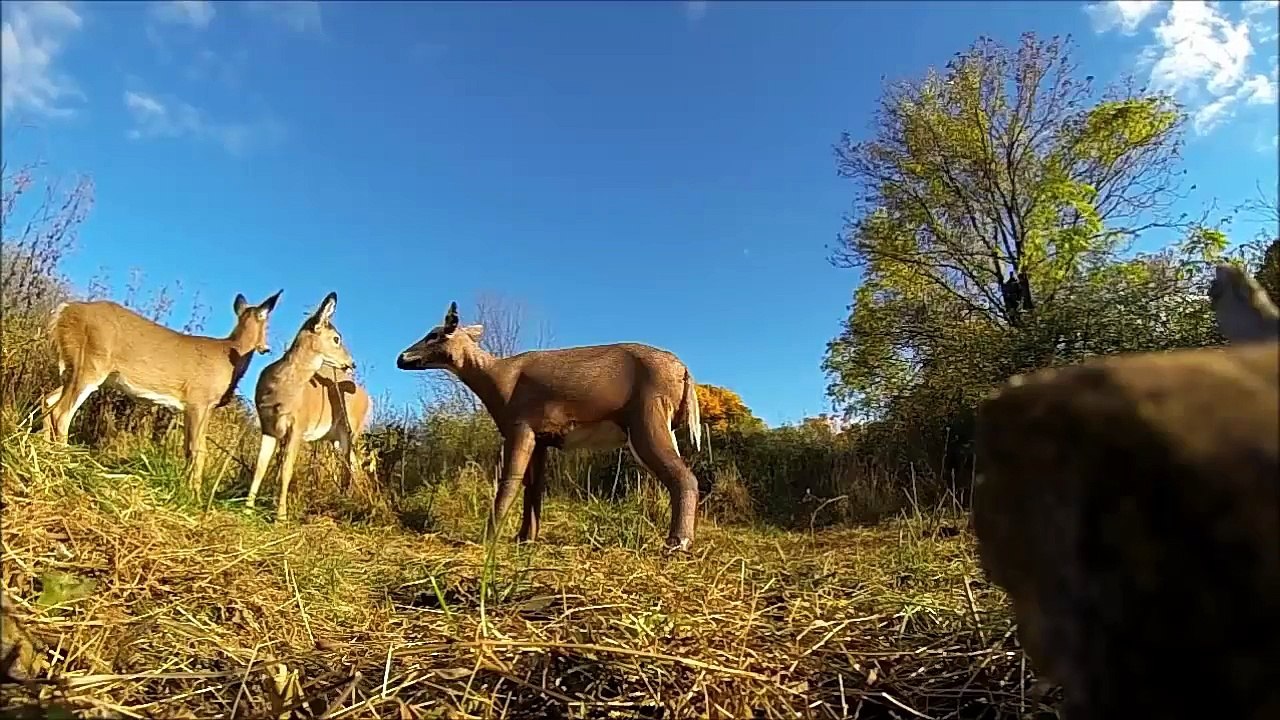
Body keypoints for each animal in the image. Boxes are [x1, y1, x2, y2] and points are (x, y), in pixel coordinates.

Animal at [41, 291, 283, 491]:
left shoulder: (196, 407)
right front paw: (194, 495)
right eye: (268, 325)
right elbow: (198, 450)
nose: (266, 348)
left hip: (74, 367)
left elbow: (189, 449)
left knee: (49, 400)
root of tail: (64, 310)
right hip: (91, 364)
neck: (230, 354)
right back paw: (64, 464)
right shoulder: (199, 400)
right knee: (62, 412)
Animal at [247, 292, 371, 521]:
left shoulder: (298, 426)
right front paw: (247, 509)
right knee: (353, 465)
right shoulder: (268, 426)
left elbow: (286, 470)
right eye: (336, 338)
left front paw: (281, 517)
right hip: (336, 439)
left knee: (351, 466)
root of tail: (368, 398)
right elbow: (260, 467)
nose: (352, 363)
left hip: (352, 432)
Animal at [396, 302, 704, 551]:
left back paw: (677, 543)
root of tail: (684, 370)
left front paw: (487, 539)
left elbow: (509, 481)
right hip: (662, 426)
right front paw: (524, 538)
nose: (401, 358)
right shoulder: (542, 437)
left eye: (434, 334)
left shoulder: (520, 426)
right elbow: (533, 488)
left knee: (684, 477)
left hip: (646, 418)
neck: (497, 379)